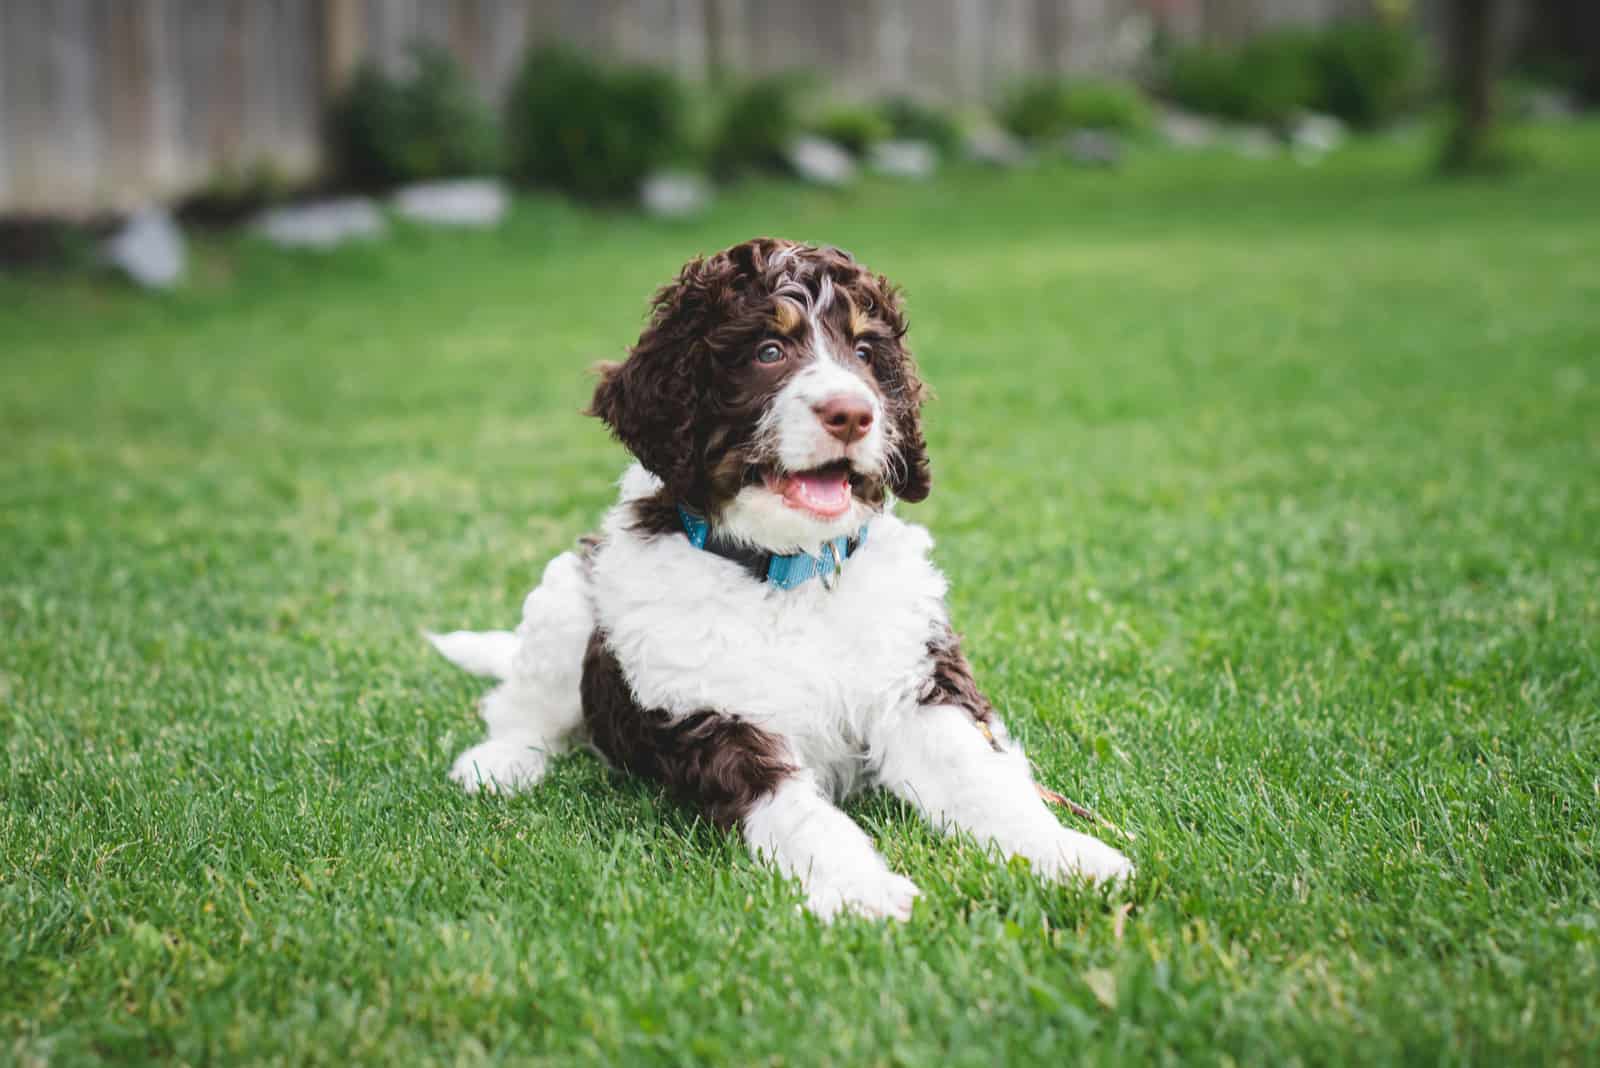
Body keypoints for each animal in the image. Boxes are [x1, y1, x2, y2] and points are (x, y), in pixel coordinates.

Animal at [422, 238, 1126, 920]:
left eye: (864, 352)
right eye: (768, 351)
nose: (852, 414)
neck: (791, 571)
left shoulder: (916, 681)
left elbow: (979, 776)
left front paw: (1065, 856)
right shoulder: (714, 718)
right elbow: (801, 816)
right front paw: (862, 889)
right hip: (567, 598)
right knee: (522, 705)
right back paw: (498, 763)